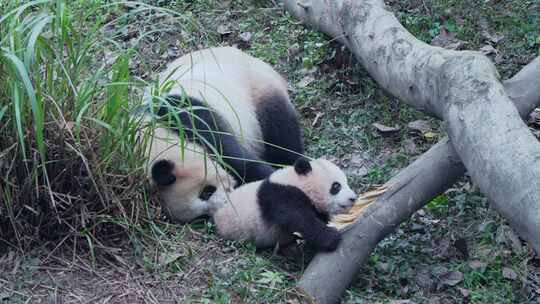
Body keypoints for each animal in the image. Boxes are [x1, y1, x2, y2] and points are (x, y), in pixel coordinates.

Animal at [140, 47, 304, 223]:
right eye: (202, 216)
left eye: (206, 192)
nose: (226, 205)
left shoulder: (188, 116)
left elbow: (241, 161)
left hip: (257, 87)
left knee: (280, 130)